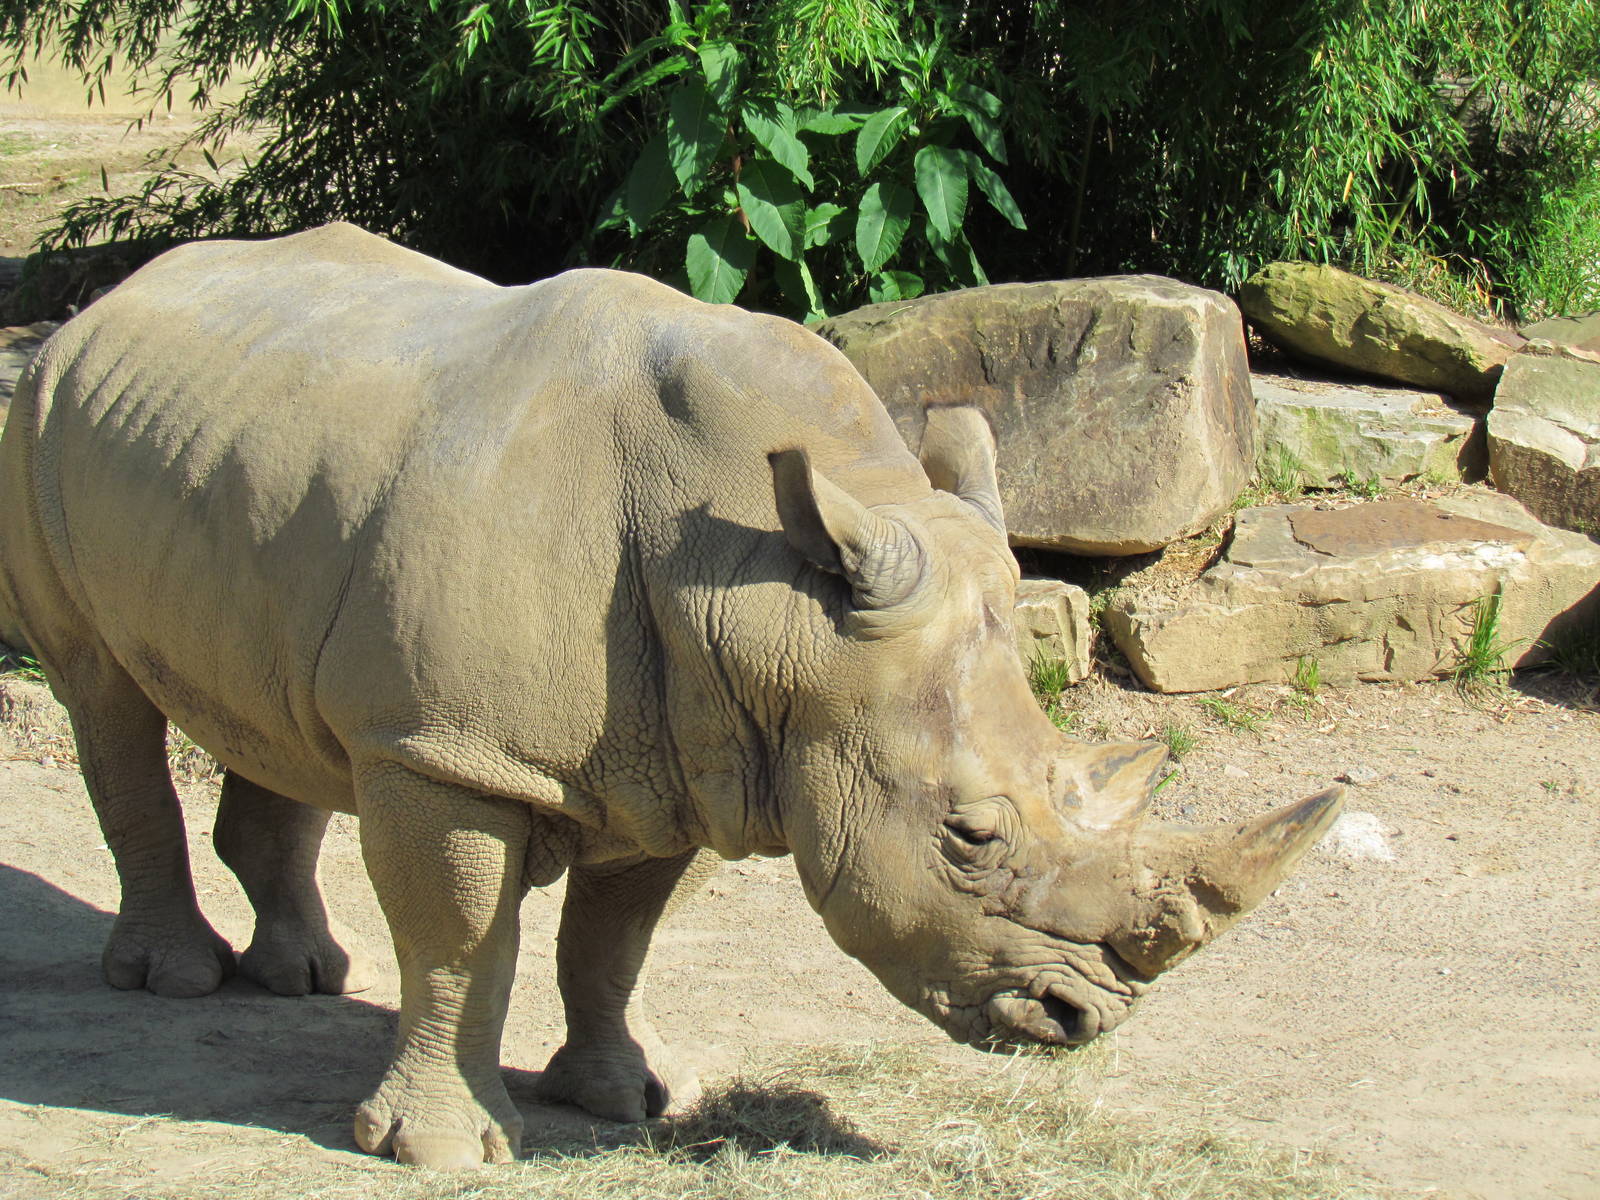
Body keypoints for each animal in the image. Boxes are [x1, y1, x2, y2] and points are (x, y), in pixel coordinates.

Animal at [0, 223, 1341, 1168]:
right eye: (968, 835)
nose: (1081, 1021)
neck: (772, 603)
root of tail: (110, 297)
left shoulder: (691, 761)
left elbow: (612, 941)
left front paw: (622, 1101)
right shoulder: (449, 753)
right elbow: (458, 941)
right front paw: (442, 1152)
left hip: (240, 453)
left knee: (284, 716)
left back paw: (306, 976)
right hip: (42, 412)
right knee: (105, 699)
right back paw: (173, 980)